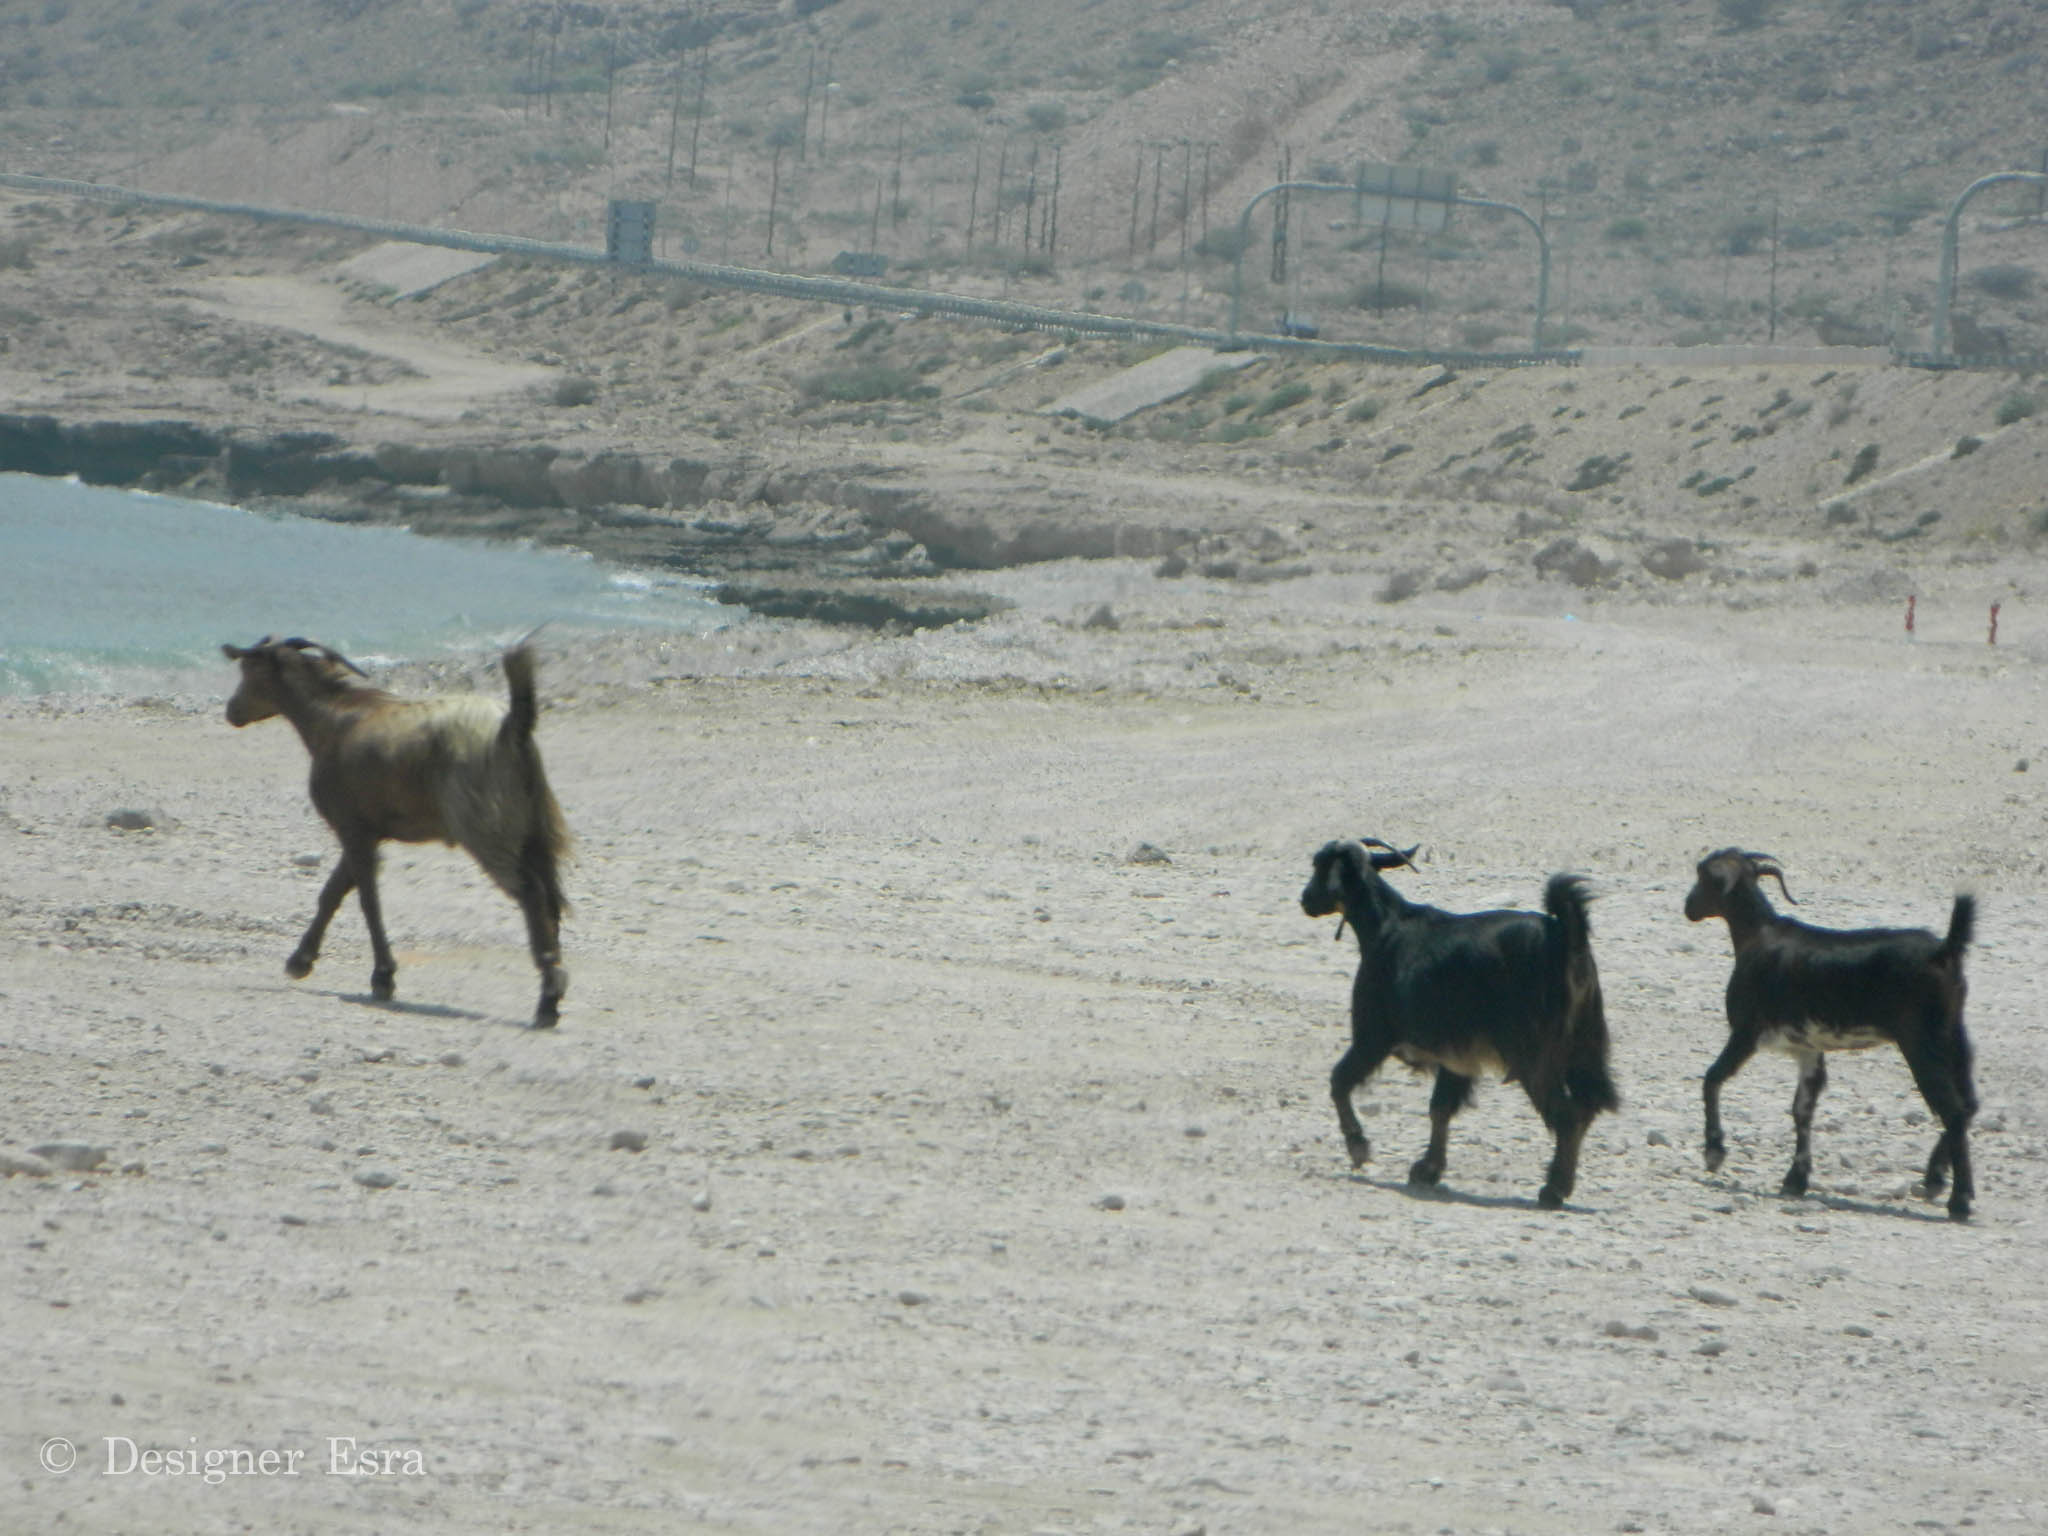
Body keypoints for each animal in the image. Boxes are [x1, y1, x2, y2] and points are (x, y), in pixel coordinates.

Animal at [223, 638, 573, 1036]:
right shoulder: (366, 829)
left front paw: (382, 977)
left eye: (248, 671)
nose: (232, 710)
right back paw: (552, 995)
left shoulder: (353, 828)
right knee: (551, 901)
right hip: (534, 830)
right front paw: (301, 961)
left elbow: (367, 901)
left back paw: (547, 1000)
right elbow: (332, 893)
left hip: (487, 827)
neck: (335, 719)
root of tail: (513, 725)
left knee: (532, 895)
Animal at [1294, 843, 1613, 1212]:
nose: (1305, 899)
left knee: (1566, 1115)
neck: (1385, 926)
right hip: (1584, 1047)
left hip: (1533, 1055)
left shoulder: (1373, 1036)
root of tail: (1566, 939)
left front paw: (1358, 1147)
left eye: (1320, 867)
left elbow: (1340, 1082)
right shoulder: (1456, 1057)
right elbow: (1440, 1109)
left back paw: (1553, 1189)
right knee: (1586, 1108)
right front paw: (1428, 1169)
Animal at [1679, 847, 1982, 1220]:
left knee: (1952, 1110)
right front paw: (1796, 1179)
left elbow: (1712, 1078)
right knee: (1968, 1105)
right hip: (1954, 1034)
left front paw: (1714, 1152)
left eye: (1703, 875)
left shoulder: (1746, 1031)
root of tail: (1944, 950)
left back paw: (1958, 1199)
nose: (1689, 907)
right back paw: (1935, 1178)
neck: (1758, 937)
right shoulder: (1809, 1048)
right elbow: (1802, 1109)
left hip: (1922, 1039)